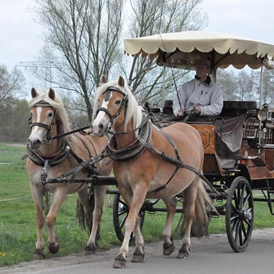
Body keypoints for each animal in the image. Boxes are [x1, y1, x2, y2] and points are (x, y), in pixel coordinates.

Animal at [25, 88, 111, 260]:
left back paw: (90, 244)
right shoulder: (35, 187)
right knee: (89, 211)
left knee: (97, 213)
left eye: (50, 114)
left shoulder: (61, 189)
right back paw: (94, 240)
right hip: (83, 189)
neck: (47, 158)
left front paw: (53, 245)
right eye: (32, 112)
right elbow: (40, 218)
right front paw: (39, 249)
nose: (34, 141)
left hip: (101, 184)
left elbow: (51, 217)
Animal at [92, 76, 216, 268]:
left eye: (118, 101)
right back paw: (167, 243)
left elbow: (130, 221)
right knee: (172, 205)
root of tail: (191, 129)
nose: (98, 126)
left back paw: (184, 248)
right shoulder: (125, 188)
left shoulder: (141, 188)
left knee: (189, 213)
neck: (137, 144)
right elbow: (135, 219)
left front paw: (122, 255)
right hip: (167, 186)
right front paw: (138, 251)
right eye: (100, 100)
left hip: (193, 183)